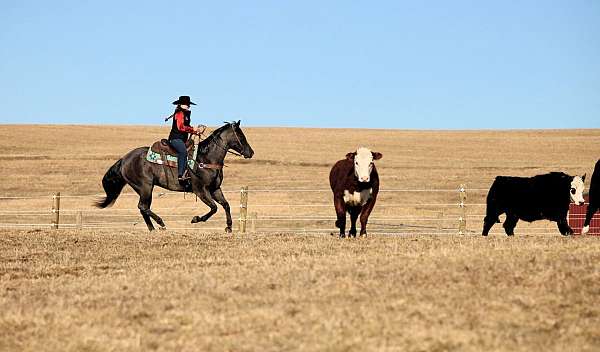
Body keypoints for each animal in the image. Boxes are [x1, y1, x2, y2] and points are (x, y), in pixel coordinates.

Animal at [95, 121, 254, 231]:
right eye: (240, 136)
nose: (250, 152)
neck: (206, 158)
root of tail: (124, 159)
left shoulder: (215, 189)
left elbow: (226, 205)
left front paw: (229, 227)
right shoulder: (200, 190)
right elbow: (214, 208)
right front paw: (196, 219)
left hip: (144, 189)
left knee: (143, 208)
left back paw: (153, 229)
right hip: (145, 186)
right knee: (143, 206)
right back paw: (161, 223)